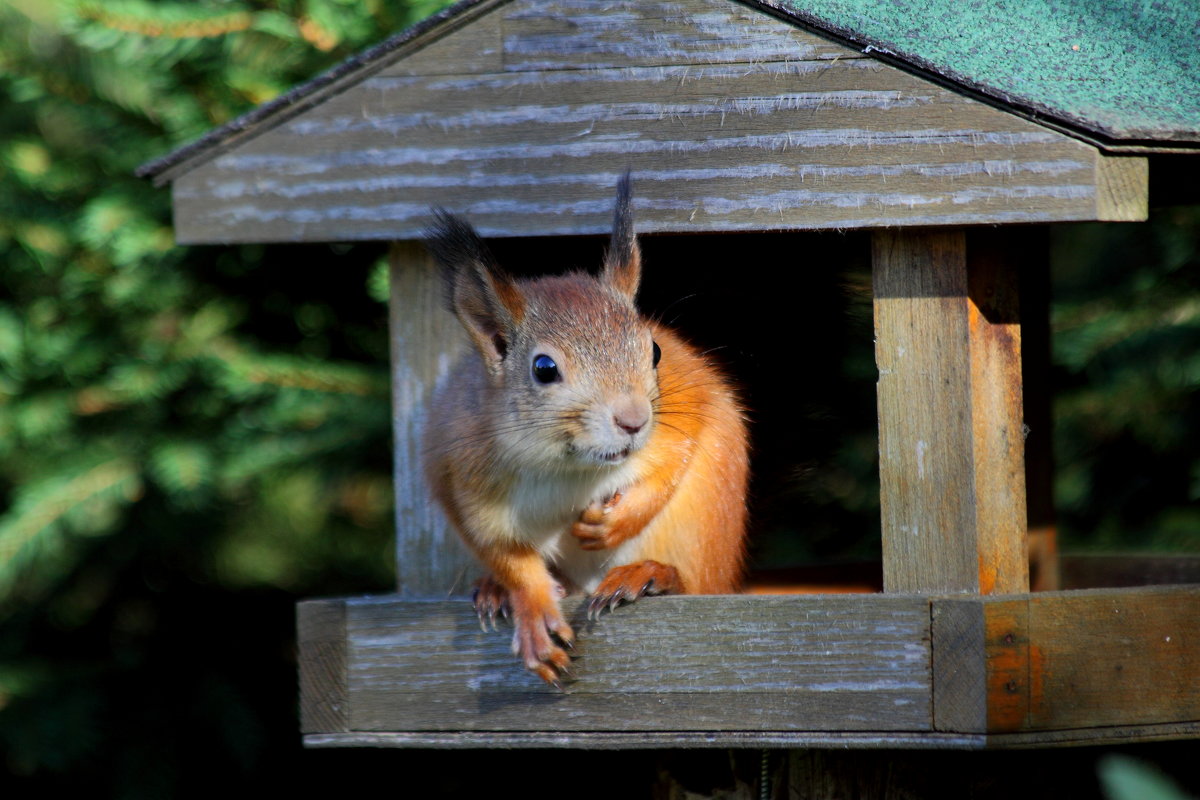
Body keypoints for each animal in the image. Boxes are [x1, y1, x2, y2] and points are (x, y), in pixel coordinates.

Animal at [422, 176, 739, 690]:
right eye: (544, 368)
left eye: (654, 350)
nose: (633, 420)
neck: (564, 464)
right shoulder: (463, 474)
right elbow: (503, 552)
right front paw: (532, 609)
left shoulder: (680, 418)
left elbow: (670, 464)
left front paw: (615, 521)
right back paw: (494, 591)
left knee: (697, 583)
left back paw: (649, 575)